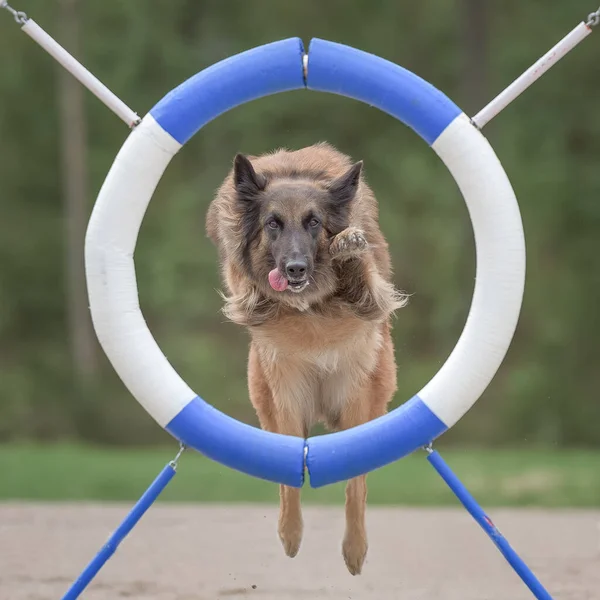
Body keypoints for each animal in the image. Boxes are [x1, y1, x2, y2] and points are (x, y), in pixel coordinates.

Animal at [204, 143, 406, 576]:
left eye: (314, 222)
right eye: (273, 224)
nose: (295, 268)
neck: (311, 307)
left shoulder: (356, 387)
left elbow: (354, 486)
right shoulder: (287, 392)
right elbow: (290, 476)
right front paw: (290, 533)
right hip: (270, 398)